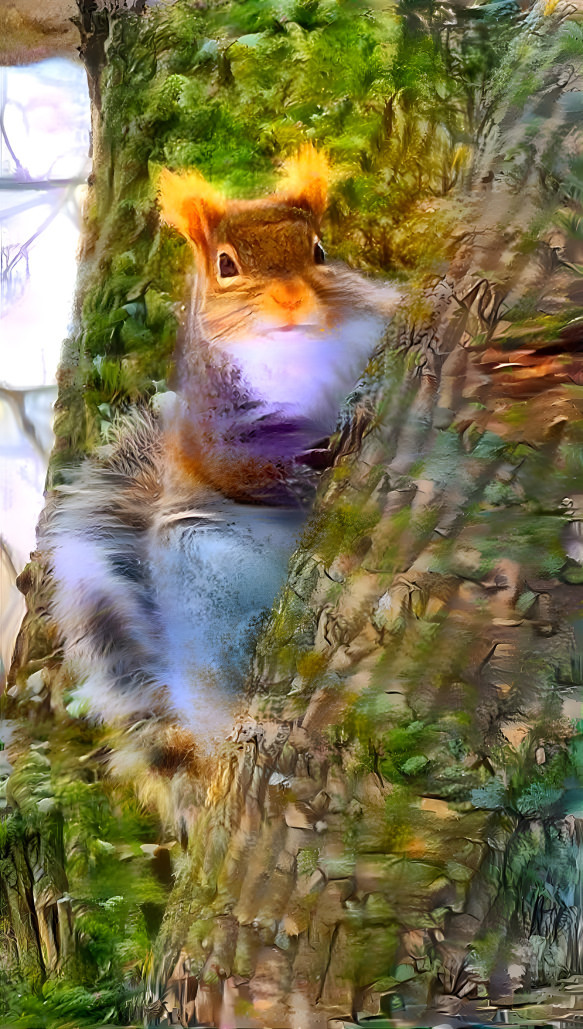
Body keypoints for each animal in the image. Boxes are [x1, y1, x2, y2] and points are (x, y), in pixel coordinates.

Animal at [42, 149, 401, 744]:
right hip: (200, 565)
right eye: (225, 265)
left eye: (320, 251)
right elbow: (236, 467)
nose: (290, 300)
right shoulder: (211, 422)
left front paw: (358, 403)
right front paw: (303, 479)